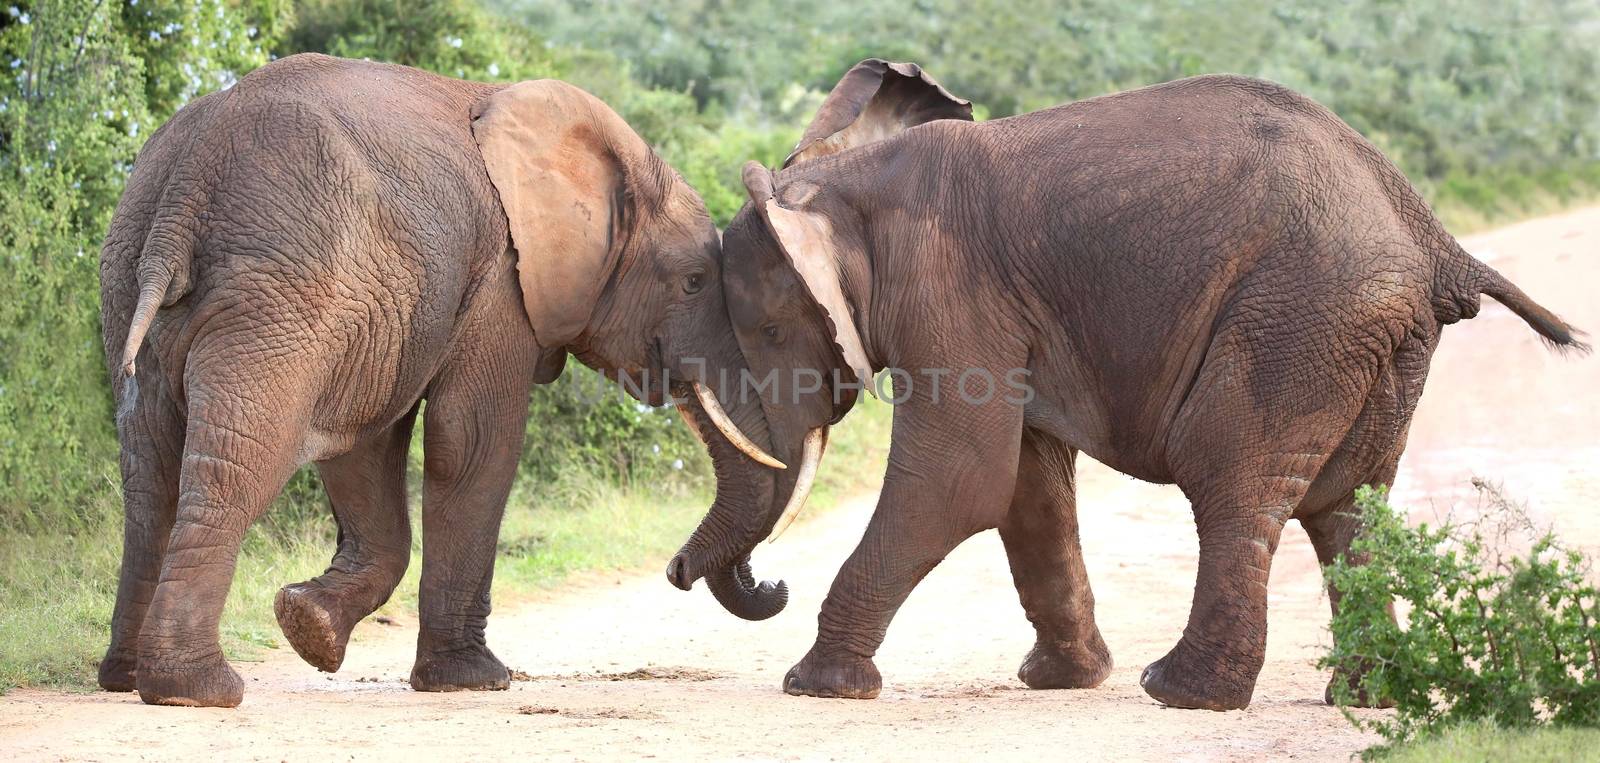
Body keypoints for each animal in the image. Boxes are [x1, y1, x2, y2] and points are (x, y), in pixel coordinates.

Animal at [96, 55, 784, 707]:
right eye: (694, 280)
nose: (775, 584)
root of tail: (190, 182)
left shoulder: (389, 311)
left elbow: (368, 444)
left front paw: (309, 624)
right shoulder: (502, 282)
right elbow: (472, 443)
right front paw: (474, 680)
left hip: (137, 272)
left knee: (148, 472)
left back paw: (128, 679)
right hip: (280, 292)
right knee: (240, 462)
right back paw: (196, 690)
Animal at [656, 59, 1580, 707]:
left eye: (764, 334)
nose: (764, 583)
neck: (841, 182)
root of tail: (1433, 235)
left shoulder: (948, 287)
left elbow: (960, 480)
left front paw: (814, 685)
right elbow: (1023, 486)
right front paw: (1061, 679)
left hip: (1302, 318)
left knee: (1235, 482)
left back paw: (1181, 693)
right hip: (1371, 337)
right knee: (1349, 509)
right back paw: (1363, 697)